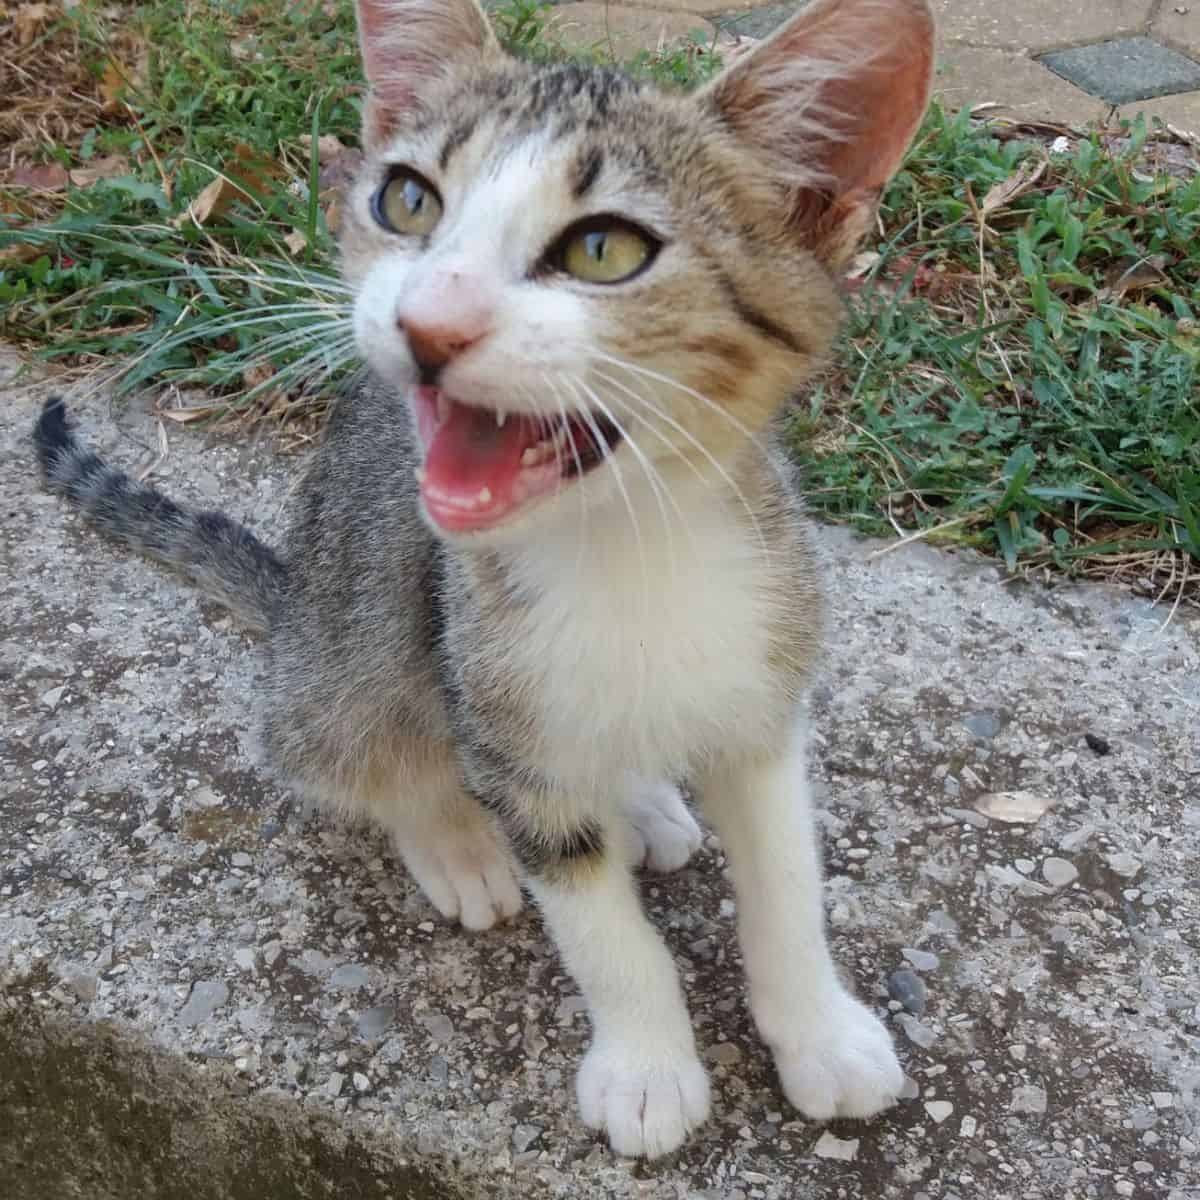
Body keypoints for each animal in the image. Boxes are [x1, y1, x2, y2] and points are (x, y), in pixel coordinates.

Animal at [32, 0, 936, 1161]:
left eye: (604, 248)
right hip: (350, 644)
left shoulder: (767, 692)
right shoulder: (498, 709)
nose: (428, 322)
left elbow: (786, 879)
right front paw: (648, 1066)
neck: (629, 549)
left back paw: (645, 801)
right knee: (357, 740)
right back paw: (455, 837)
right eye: (407, 199)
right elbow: (598, 926)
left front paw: (818, 1030)